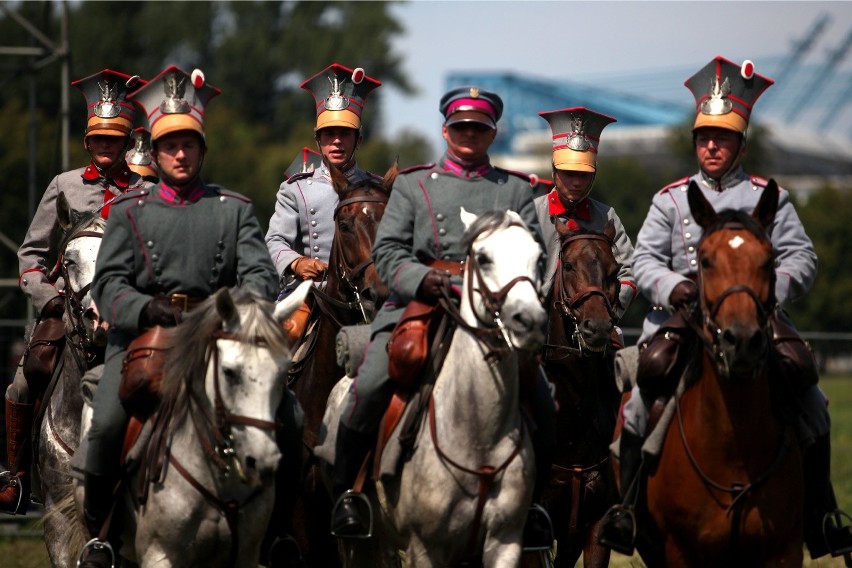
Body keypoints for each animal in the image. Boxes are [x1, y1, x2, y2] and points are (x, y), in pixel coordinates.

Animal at [636, 181, 804, 568]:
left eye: (768, 259)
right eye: (706, 260)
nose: (741, 341)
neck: (733, 447)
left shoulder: (785, 549)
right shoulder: (679, 551)